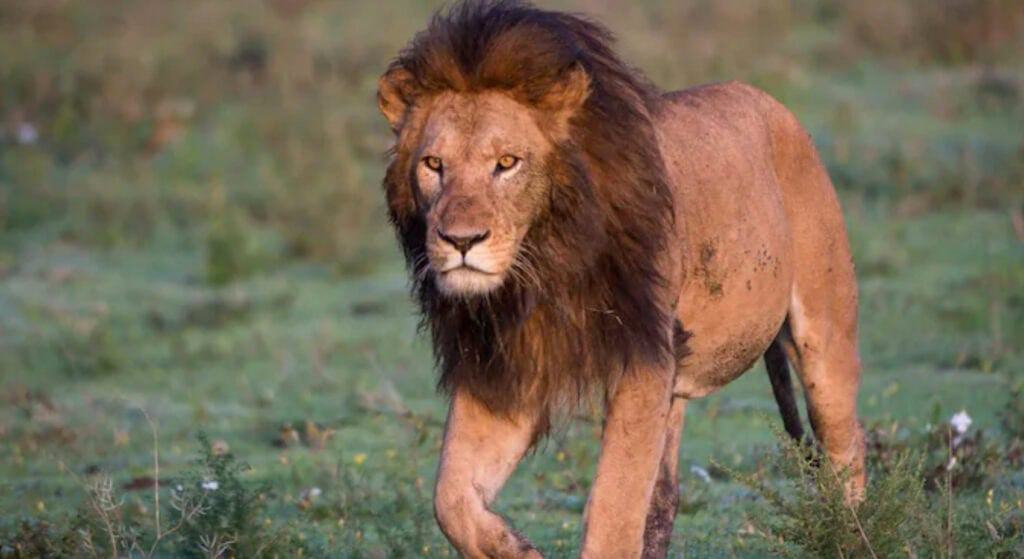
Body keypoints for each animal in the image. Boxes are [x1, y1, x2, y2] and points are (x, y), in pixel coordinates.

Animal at [376, 2, 864, 552]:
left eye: (506, 163)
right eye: (433, 164)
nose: (461, 241)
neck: (543, 264)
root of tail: (770, 102)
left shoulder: (643, 358)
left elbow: (615, 506)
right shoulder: (507, 368)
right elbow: (450, 499)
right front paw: (517, 547)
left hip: (823, 334)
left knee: (848, 452)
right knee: (665, 499)